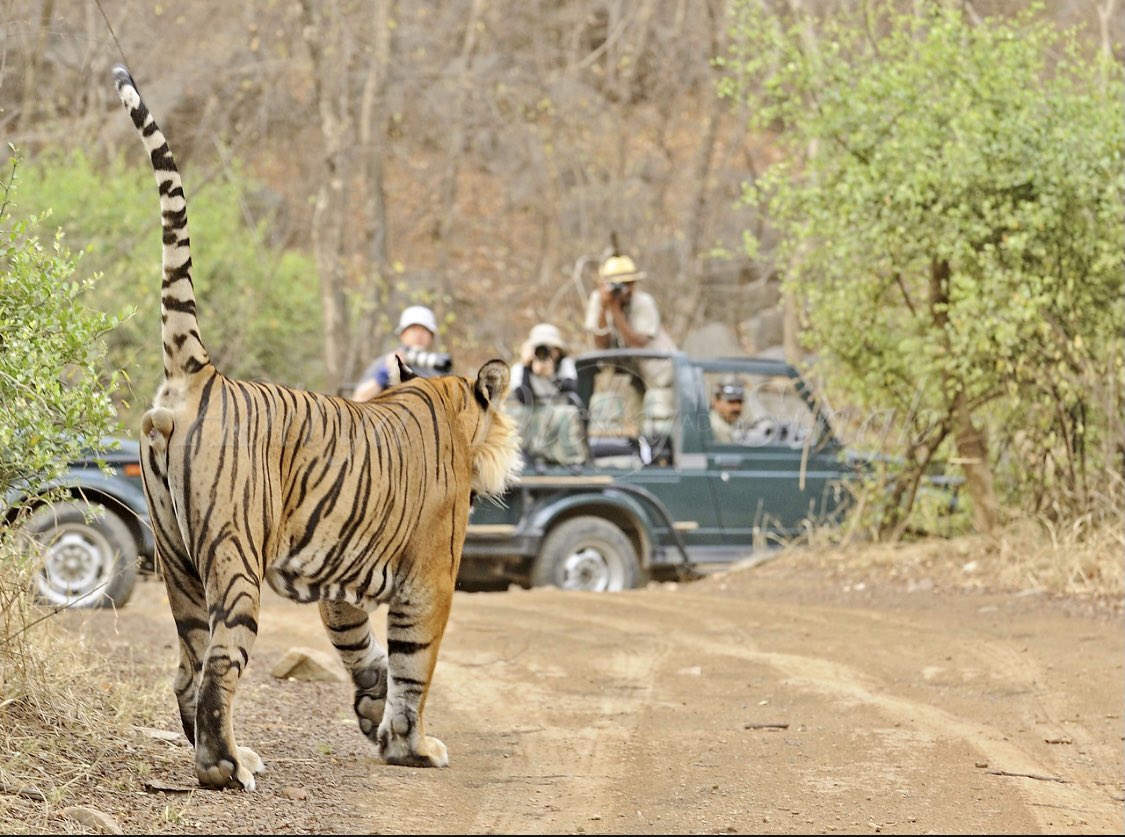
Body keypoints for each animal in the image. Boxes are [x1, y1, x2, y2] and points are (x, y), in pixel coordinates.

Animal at [110, 65, 520, 790]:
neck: (442, 400)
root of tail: (200, 373)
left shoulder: (340, 583)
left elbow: (366, 652)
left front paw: (373, 715)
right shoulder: (430, 578)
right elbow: (416, 666)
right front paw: (412, 746)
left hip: (176, 559)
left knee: (187, 668)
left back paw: (222, 754)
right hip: (234, 559)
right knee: (218, 667)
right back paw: (228, 766)